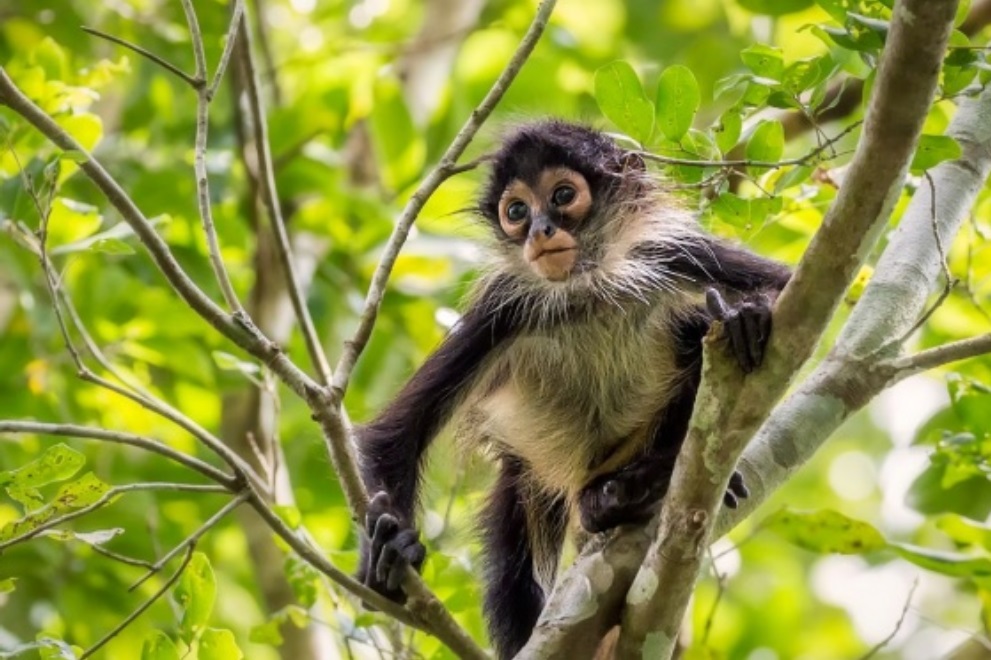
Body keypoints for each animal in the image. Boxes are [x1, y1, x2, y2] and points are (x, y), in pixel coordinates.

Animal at [354, 121, 792, 656]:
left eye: (563, 196)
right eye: (517, 212)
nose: (540, 230)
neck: (587, 291)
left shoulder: (669, 253)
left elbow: (795, 289)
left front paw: (749, 314)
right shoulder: (503, 309)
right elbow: (397, 432)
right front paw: (388, 560)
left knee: (692, 330)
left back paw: (636, 485)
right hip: (528, 475)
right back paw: (613, 501)